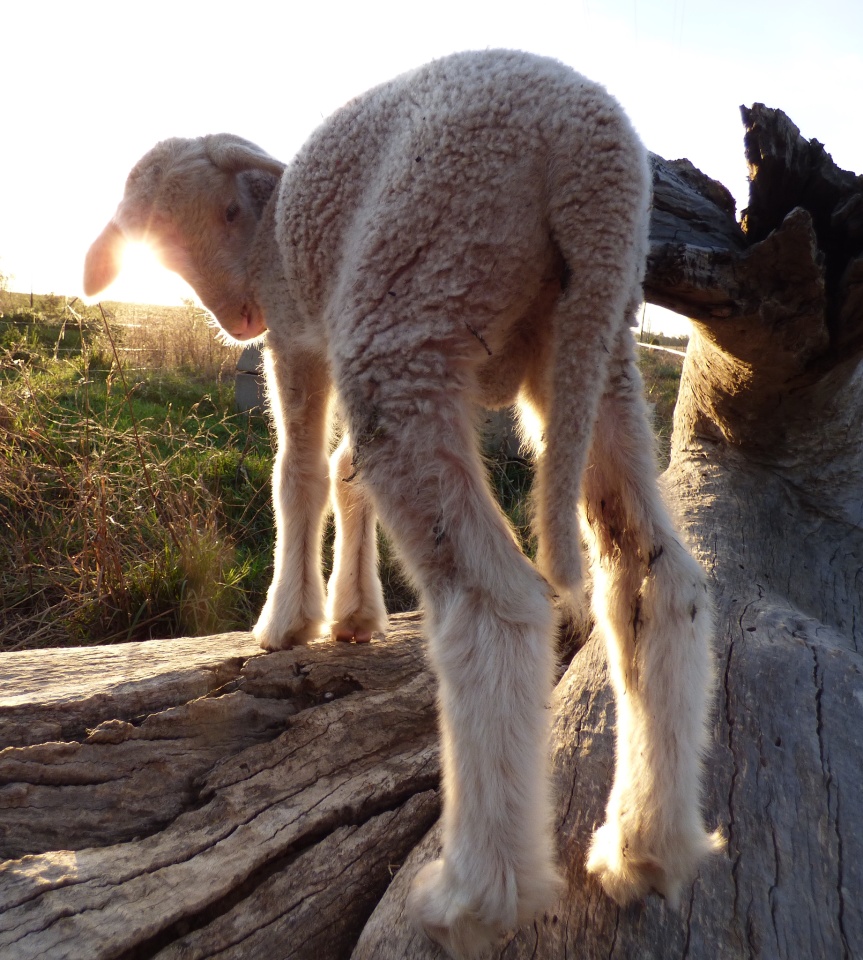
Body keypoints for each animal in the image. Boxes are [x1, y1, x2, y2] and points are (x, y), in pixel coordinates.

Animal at [83, 49, 721, 958]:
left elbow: (300, 473)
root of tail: (588, 153)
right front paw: (352, 613)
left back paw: (477, 894)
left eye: (217, 215)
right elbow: (346, 475)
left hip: (408, 309)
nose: (234, 317)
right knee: (657, 581)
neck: (266, 230)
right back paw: (646, 844)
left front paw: (288, 620)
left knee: (497, 603)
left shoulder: (296, 333)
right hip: (593, 352)